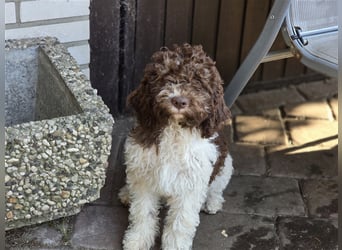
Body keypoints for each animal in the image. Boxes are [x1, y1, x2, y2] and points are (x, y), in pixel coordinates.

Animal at [119, 44, 234, 249]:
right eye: (167, 77)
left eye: (199, 83)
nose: (179, 101)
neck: (174, 129)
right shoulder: (143, 175)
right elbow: (143, 212)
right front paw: (138, 239)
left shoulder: (191, 185)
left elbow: (180, 222)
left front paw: (174, 245)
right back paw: (126, 193)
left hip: (226, 165)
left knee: (216, 188)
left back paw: (212, 203)